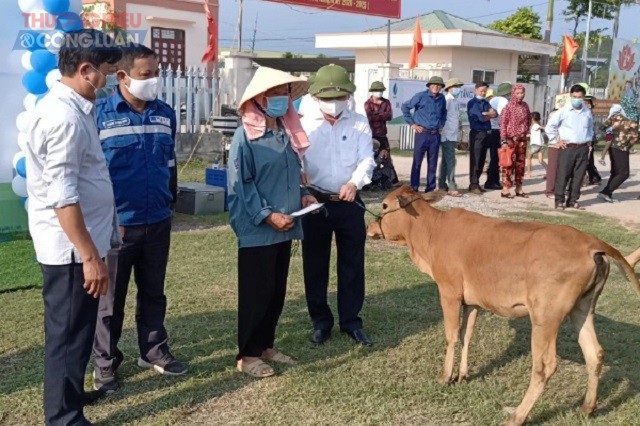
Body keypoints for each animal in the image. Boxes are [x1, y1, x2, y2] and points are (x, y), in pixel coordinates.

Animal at [364, 186, 640, 426]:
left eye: (385, 205)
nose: (369, 226)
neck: (431, 231)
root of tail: (592, 243)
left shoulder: (449, 291)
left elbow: (451, 335)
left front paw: (445, 377)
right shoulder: (472, 301)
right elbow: (467, 335)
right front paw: (463, 375)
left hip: (545, 317)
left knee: (545, 365)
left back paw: (517, 415)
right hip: (582, 309)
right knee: (595, 353)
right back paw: (587, 408)